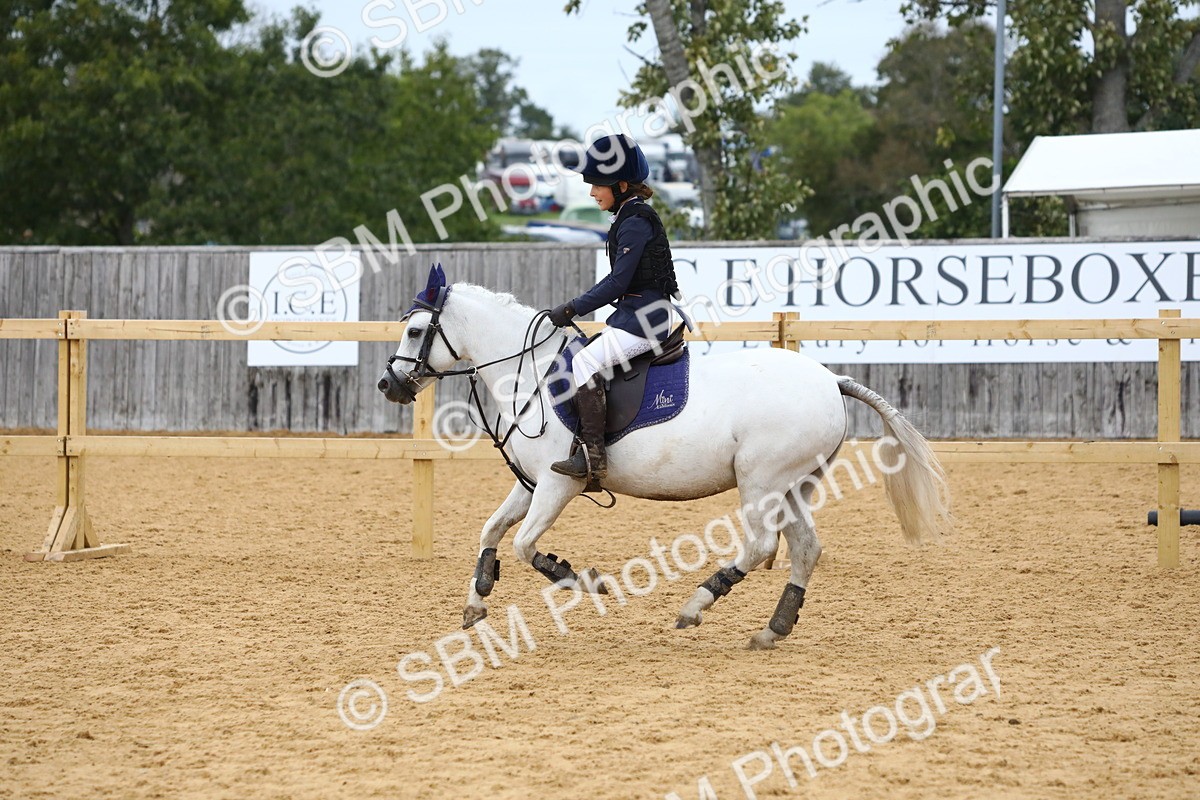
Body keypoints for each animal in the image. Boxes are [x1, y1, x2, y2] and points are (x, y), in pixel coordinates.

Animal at [378, 274, 952, 650]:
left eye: (415, 332)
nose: (389, 384)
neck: (532, 373)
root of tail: (831, 380)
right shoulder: (530, 483)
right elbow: (492, 531)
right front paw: (476, 601)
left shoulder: (559, 484)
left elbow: (523, 545)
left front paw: (582, 580)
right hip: (793, 486)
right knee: (806, 548)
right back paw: (772, 629)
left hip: (761, 481)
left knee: (762, 545)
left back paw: (696, 605)